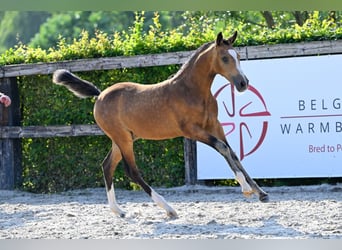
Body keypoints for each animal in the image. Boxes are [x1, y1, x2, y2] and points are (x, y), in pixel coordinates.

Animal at [53, 31, 268, 218]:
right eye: (224, 58)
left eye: (238, 56)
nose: (243, 83)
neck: (191, 91)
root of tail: (100, 95)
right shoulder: (192, 131)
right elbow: (222, 148)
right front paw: (246, 188)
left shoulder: (215, 126)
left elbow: (233, 153)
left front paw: (261, 193)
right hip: (123, 139)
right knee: (131, 171)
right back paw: (168, 208)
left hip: (123, 138)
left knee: (107, 166)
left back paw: (118, 211)